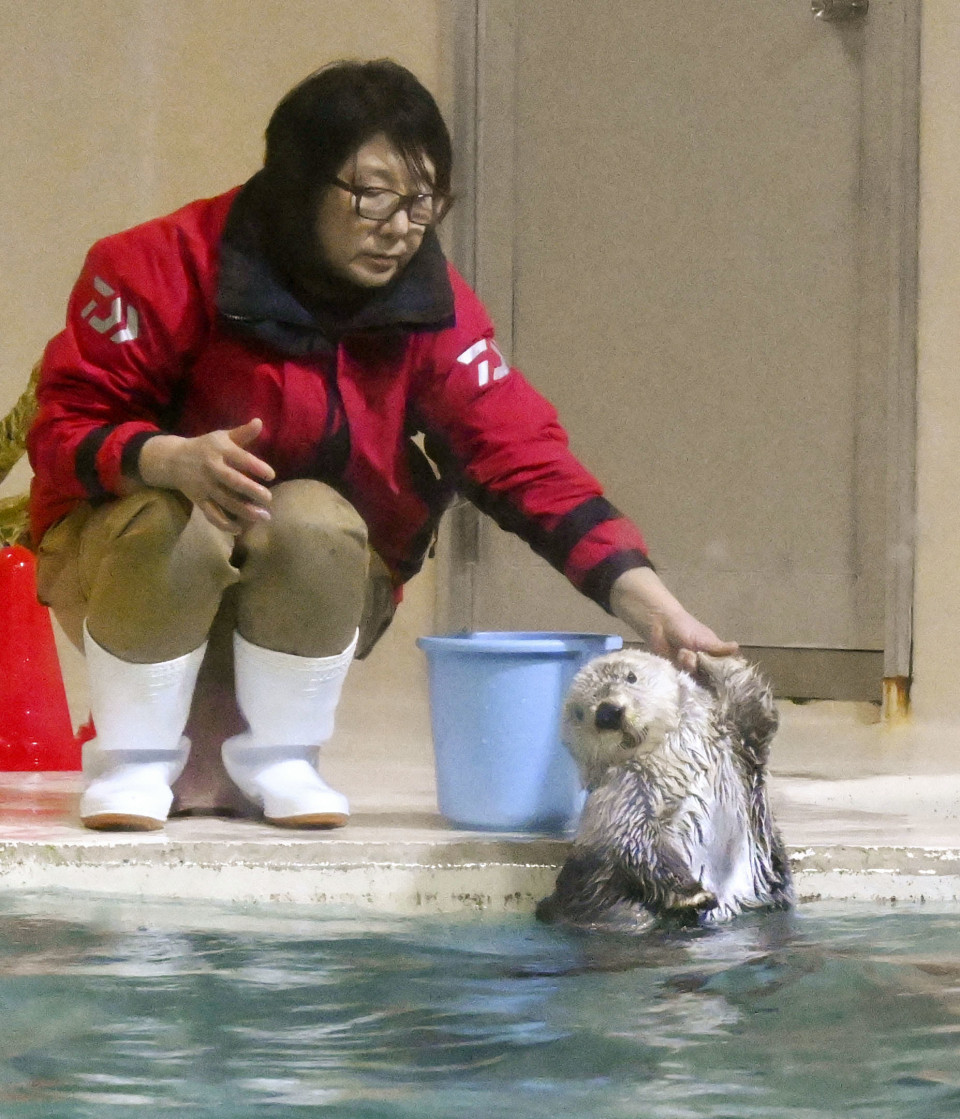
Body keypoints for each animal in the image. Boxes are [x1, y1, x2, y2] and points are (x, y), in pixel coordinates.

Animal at [536, 650, 793, 931]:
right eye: (579, 713)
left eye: (631, 677)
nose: (608, 713)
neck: (671, 751)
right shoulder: (623, 793)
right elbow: (634, 841)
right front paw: (694, 894)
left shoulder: (738, 743)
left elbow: (755, 708)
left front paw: (704, 660)